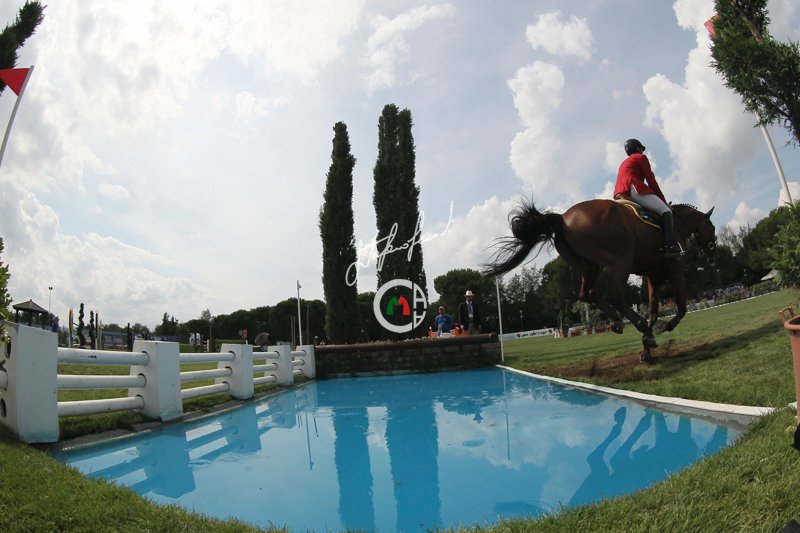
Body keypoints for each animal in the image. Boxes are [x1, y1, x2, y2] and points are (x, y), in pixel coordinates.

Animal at [483, 198, 716, 362]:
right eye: (712, 228)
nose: (712, 252)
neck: (677, 224)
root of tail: (563, 218)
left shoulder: (653, 276)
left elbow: (653, 311)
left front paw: (647, 349)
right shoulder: (675, 269)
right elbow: (681, 307)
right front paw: (660, 329)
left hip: (590, 267)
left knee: (588, 294)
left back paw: (617, 322)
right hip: (621, 259)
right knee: (613, 295)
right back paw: (635, 324)